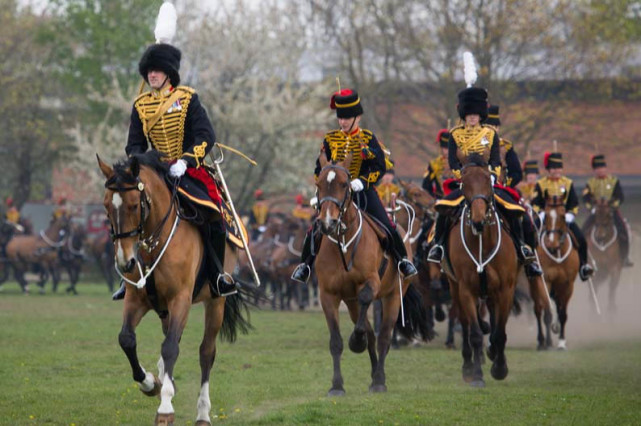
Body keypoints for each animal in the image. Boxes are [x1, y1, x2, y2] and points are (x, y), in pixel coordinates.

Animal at [96, 151, 249, 424]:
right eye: (106, 207)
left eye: (134, 205)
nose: (126, 262)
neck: (152, 241)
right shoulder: (136, 300)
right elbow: (127, 339)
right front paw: (150, 384)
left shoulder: (181, 299)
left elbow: (170, 348)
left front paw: (165, 408)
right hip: (164, 308)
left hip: (215, 302)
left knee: (206, 352)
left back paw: (202, 412)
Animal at [312, 151, 428, 394]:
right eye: (318, 184)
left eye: (344, 184)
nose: (327, 222)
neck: (344, 242)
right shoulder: (328, 295)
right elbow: (336, 341)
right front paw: (336, 385)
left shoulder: (371, 283)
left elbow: (367, 301)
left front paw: (356, 341)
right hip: (352, 302)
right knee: (373, 336)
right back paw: (374, 376)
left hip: (393, 297)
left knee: (383, 337)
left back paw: (380, 380)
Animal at [440, 155, 520, 388]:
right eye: (464, 183)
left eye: (488, 181)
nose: (477, 220)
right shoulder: (466, 289)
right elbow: (475, 333)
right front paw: (476, 375)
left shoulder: (505, 290)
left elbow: (499, 332)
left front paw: (500, 368)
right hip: (456, 288)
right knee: (466, 323)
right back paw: (468, 366)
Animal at [536, 193, 580, 350]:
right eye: (546, 215)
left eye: (563, 215)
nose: (552, 243)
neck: (557, 252)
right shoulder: (546, 281)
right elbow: (547, 312)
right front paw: (548, 342)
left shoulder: (568, 285)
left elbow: (562, 314)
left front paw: (561, 341)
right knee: (538, 310)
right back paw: (541, 340)